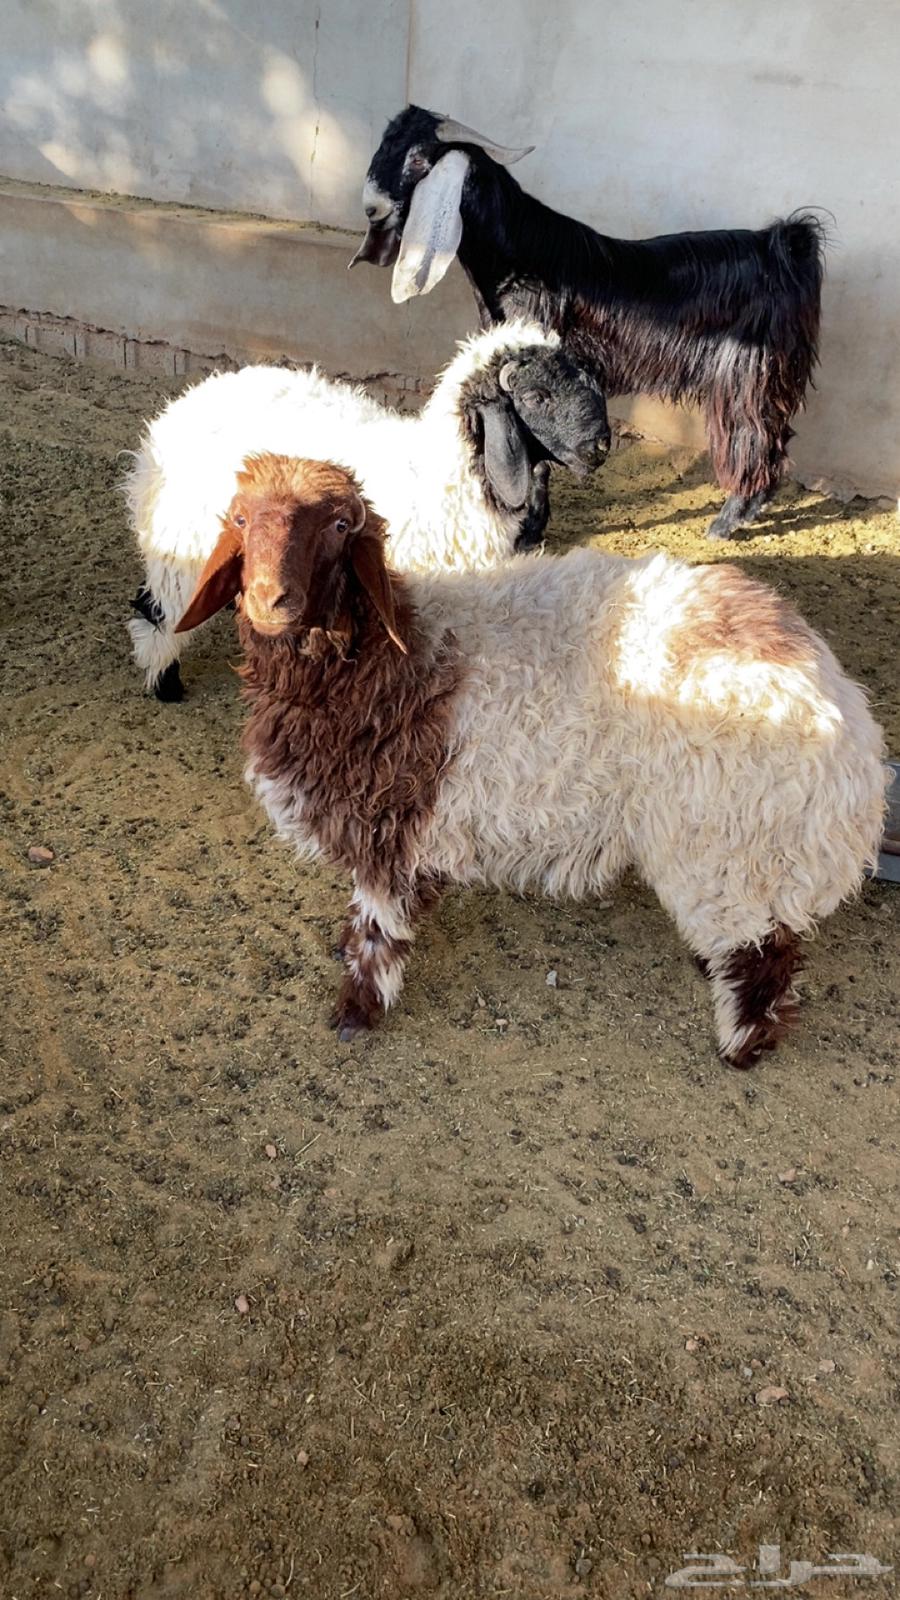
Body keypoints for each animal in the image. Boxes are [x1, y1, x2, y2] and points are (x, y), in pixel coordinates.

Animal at [125, 320, 610, 700]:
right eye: (536, 396)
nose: (600, 446)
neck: (446, 474)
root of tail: (185, 402)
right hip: (181, 536)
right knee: (159, 606)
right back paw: (164, 681)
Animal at [174, 453, 888, 1069]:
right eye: (240, 520)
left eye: (341, 526)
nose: (272, 600)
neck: (383, 659)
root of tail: (849, 721)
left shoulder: (391, 828)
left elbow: (379, 930)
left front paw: (357, 1011)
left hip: (726, 847)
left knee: (765, 952)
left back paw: (742, 1046)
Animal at [351, 105, 826, 541]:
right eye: (383, 147)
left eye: (419, 159)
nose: (371, 208)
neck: (519, 253)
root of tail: (786, 245)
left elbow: (538, 458)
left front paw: (530, 528)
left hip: (747, 376)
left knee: (754, 436)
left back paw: (727, 522)